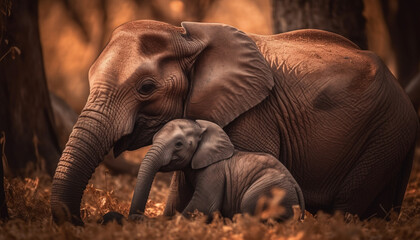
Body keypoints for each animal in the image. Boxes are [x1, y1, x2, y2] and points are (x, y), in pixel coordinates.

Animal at [130, 119, 304, 220]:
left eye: (179, 144)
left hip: (268, 191)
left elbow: (203, 205)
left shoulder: (213, 173)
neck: (201, 127)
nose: (137, 218)